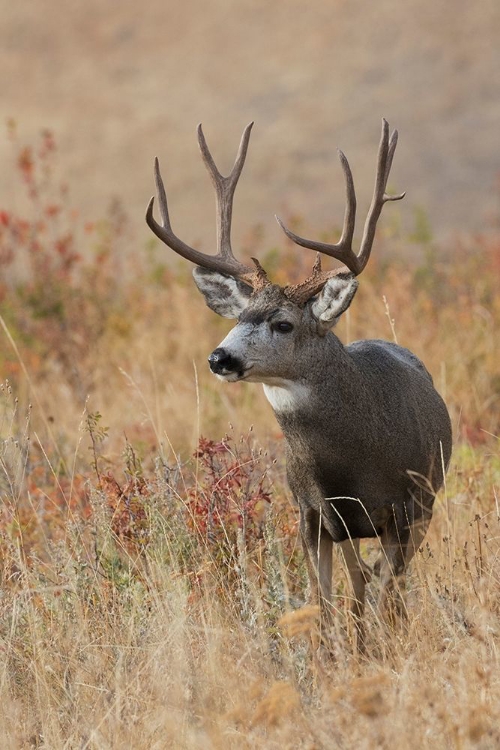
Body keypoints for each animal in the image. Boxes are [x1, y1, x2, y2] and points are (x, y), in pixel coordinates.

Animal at [146, 120, 454, 644]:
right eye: (240, 316)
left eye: (284, 324)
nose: (219, 357)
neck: (350, 464)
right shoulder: (312, 514)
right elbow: (324, 603)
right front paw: (336, 654)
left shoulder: (404, 506)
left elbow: (378, 595)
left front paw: (379, 648)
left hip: (424, 505)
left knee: (387, 586)